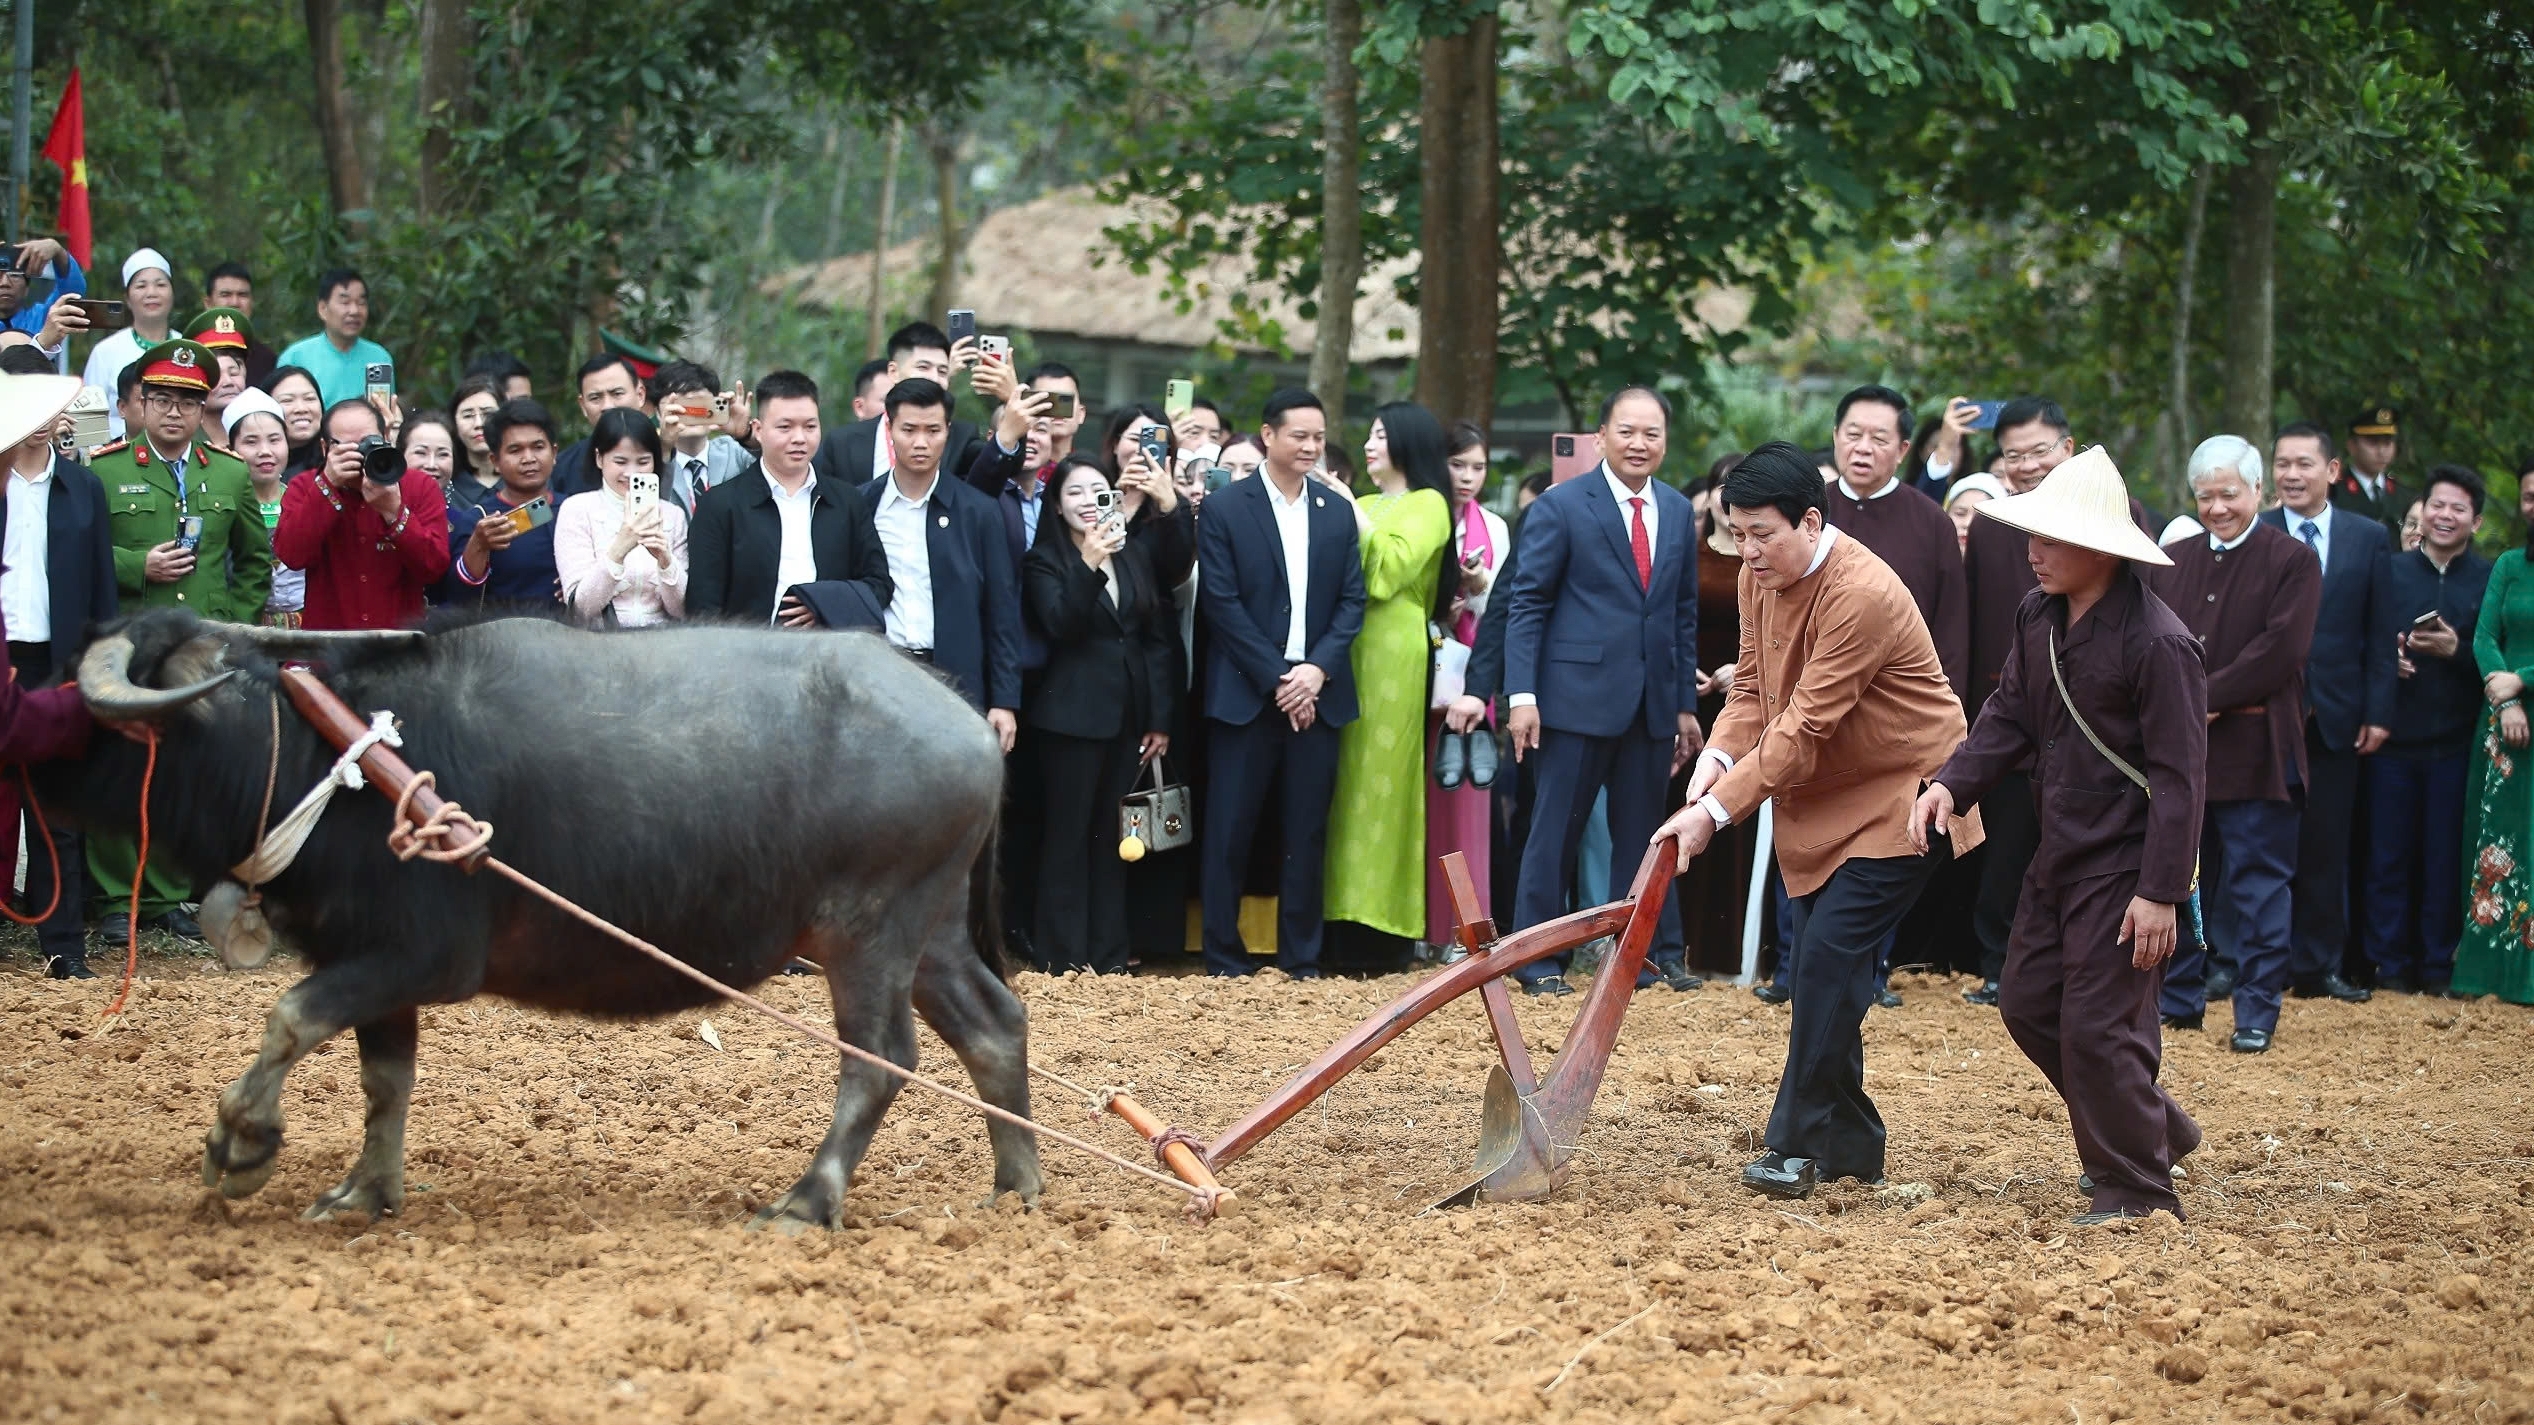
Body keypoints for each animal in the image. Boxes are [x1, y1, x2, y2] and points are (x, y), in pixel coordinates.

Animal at [39, 603, 1033, 1227]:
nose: (34, 729)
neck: (332, 763)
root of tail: (970, 724)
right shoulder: (375, 961)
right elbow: (384, 1079)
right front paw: (361, 1193)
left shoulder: (420, 956)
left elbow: (288, 1017)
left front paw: (240, 1144)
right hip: (932, 932)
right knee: (994, 1026)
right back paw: (1016, 1185)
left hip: (868, 931)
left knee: (882, 1056)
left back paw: (805, 1200)